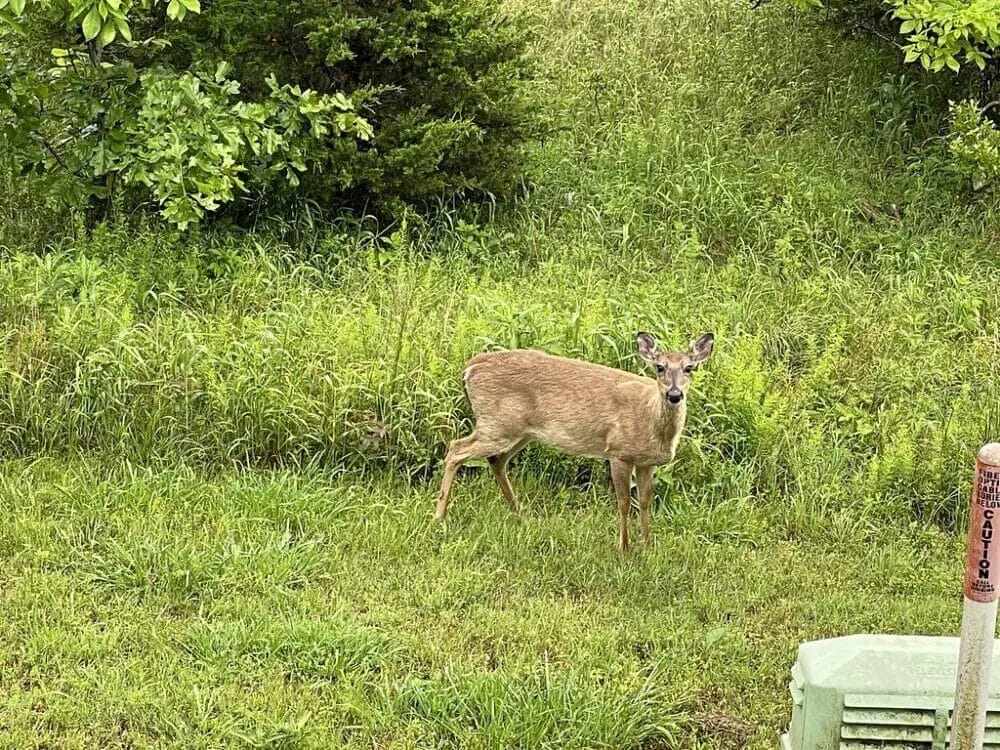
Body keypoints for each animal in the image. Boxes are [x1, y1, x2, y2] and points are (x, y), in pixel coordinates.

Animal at [435, 331, 715, 551]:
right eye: (660, 367)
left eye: (689, 368)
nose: (674, 394)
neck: (649, 417)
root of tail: (469, 368)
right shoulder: (618, 452)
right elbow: (624, 503)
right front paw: (624, 549)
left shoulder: (646, 462)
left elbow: (645, 502)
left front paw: (647, 546)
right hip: (496, 424)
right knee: (455, 449)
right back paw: (440, 518)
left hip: (517, 431)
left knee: (495, 460)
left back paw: (521, 515)